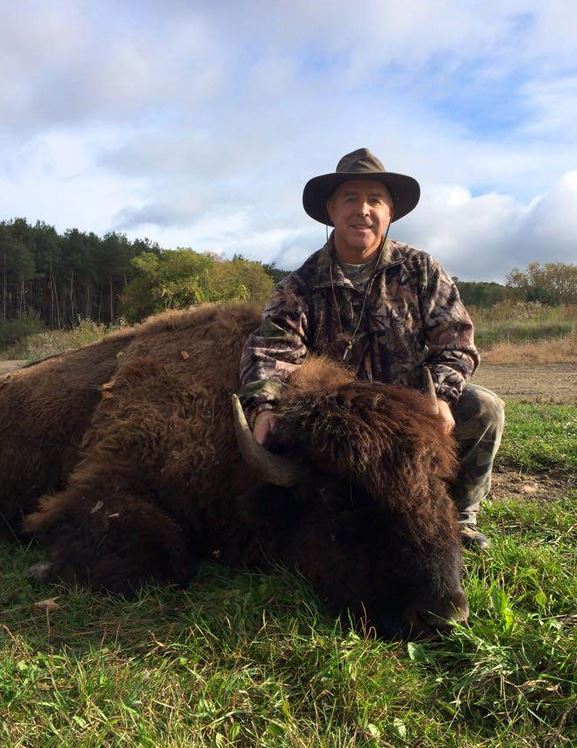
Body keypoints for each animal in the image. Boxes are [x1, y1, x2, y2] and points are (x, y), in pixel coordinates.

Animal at [0, 302, 468, 636]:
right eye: (336, 499)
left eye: (438, 483)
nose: (444, 615)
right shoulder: (99, 488)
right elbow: (165, 556)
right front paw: (43, 571)